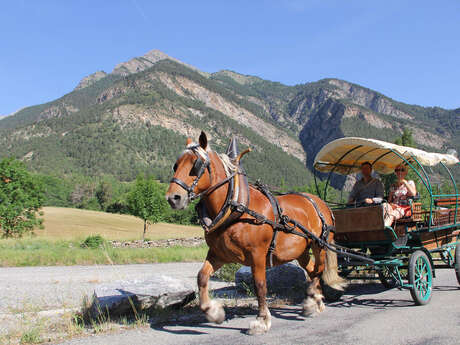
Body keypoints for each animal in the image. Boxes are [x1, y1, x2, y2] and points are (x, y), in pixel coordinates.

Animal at [166, 131, 344, 334]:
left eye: (196, 165)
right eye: (176, 165)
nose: (173, 198)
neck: (238, 207)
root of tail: (320, 203)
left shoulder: (257, 255)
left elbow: (260, 285)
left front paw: (262, 320)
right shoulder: (219, 254)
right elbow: (202, 276)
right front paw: (213, 311)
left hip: (319, 245)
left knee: (319, 269)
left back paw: (315, 300)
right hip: (301, 251)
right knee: (313, 270)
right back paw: (314, 302)